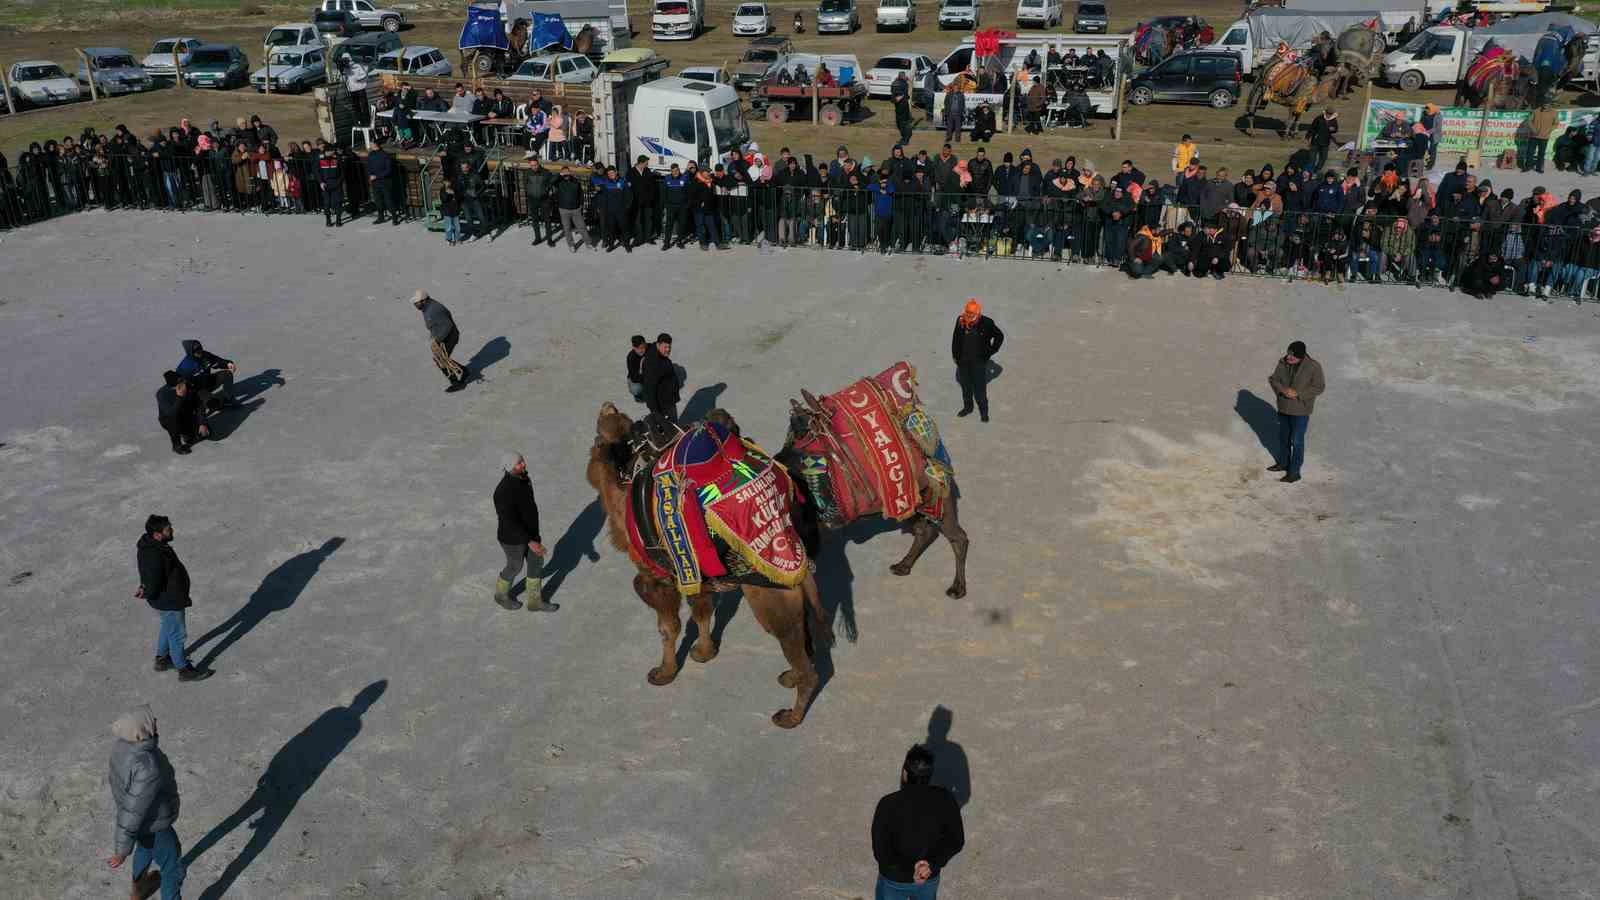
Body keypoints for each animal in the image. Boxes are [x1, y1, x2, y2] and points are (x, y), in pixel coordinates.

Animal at [582, 403, 825, 723]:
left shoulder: (656, 577)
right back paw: (790, 678)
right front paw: (704, 652)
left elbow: (668, 626)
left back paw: (790, 716)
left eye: (600, 434)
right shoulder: (692, 571)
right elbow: (702, 611)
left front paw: (664, 672)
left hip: (772, 597)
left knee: (795, 646)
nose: (607, 406)